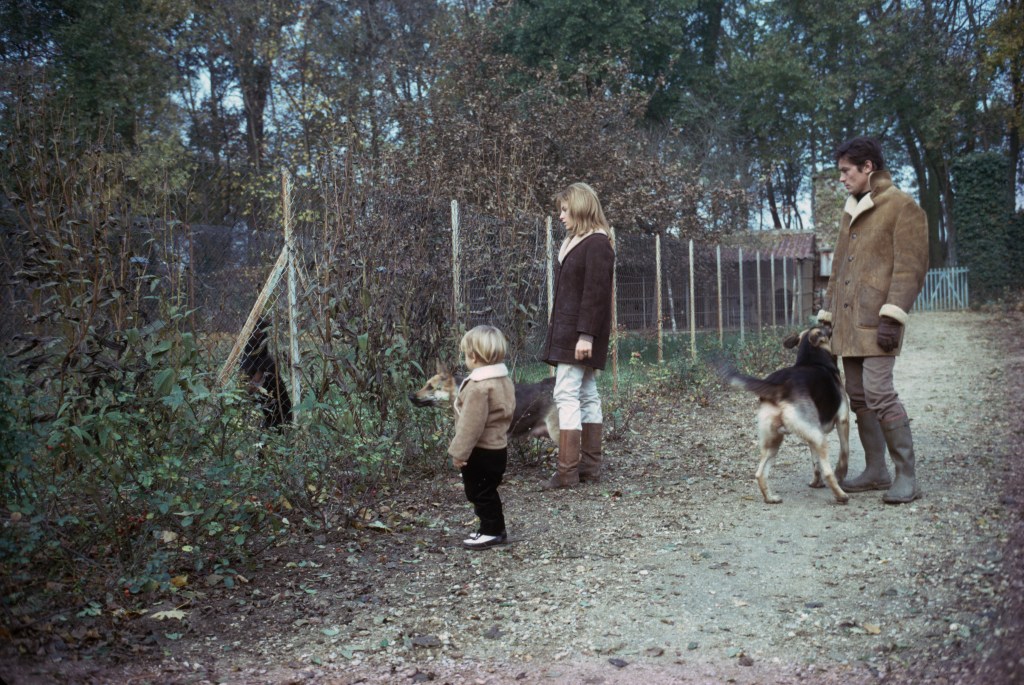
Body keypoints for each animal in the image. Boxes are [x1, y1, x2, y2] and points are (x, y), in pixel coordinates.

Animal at [724, 325, 851, 501]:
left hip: (774, 441)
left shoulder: (811, 438)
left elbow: (815, 463)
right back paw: (841, 495)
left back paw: (770, 498)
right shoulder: (843, 420)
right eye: (824, 329)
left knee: (759, 473)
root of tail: (779, 387)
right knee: (828, 472)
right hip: (818, 437)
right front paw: (841, 474)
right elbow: (844, 453)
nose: (830, 324)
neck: (812, 359)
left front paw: (816, 483)